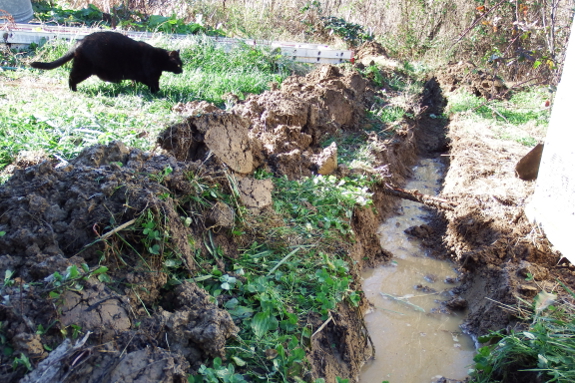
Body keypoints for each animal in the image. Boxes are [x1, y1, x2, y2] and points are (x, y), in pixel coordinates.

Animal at [30, 31, 183, 93]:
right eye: (178, 64)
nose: (182, 71)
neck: (159, 59)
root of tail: (79, 42)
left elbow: (135, 81)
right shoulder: (150, 76)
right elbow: (154, 85)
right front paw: (158, 93)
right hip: (84, 68)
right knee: (71, 77)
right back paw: (73, 90)